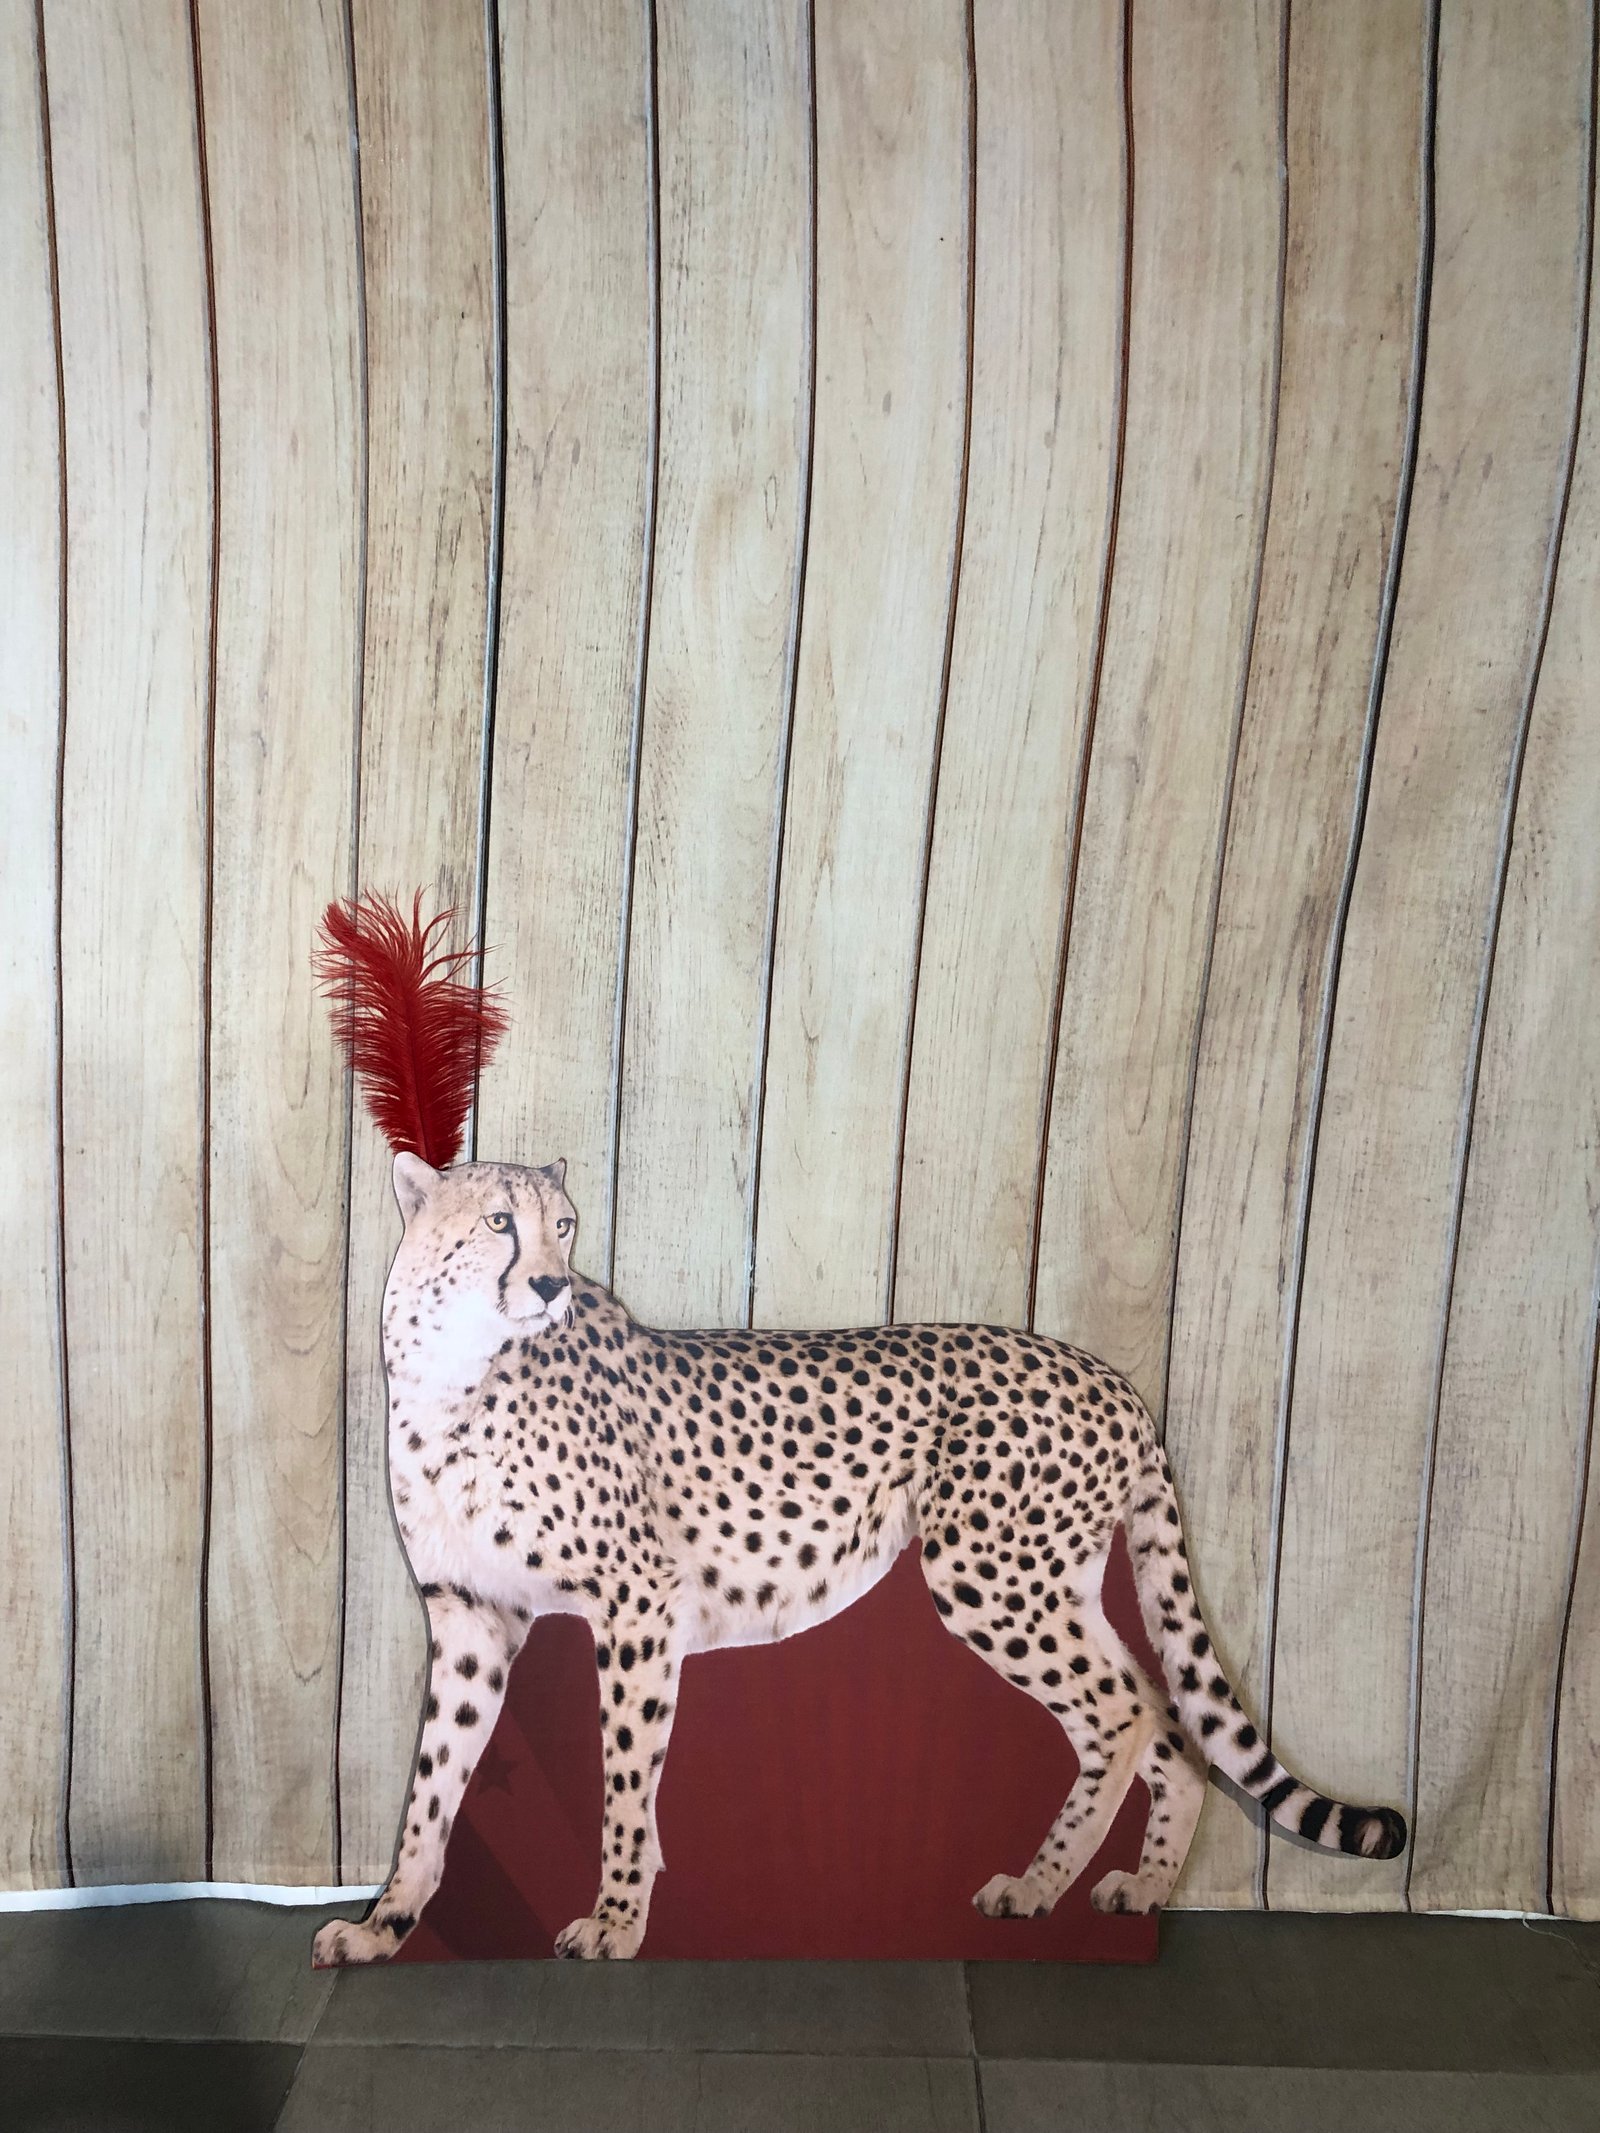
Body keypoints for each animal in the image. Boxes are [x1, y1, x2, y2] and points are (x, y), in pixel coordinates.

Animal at [313, 1154, 1405, 1964]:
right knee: (1164, 1707)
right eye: (499, 1222)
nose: (548, 1283)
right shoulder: (469, 1616)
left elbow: (625, 1777)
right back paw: (1139, 1887)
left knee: (1123, 1711)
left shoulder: (635, 1605)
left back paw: (1038, 1884)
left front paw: (618, 1918)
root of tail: (1112, 1374)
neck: (453, 1370)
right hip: (1051, 1581)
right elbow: (431, 1785)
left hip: (987, 1577)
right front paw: (383, 1925)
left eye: (565, 1226)